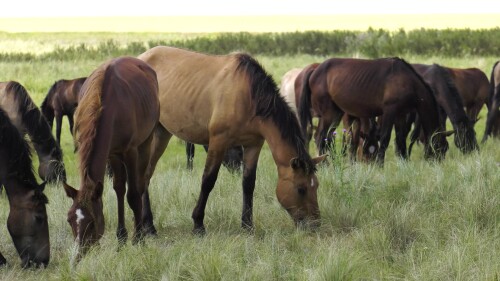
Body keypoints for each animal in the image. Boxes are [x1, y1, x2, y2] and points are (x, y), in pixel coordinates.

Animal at [62, 55, 160, 250]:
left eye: (92, 222)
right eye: (69, 220)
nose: (80, 251)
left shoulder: (130, 151)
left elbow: (133, 194)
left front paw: (138, 238)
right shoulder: (112, 153)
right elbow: (119, 188)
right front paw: (121, 236)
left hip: (146, 141)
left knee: (141, 182)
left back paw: (143, 227)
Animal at [137, 46, 326, 234]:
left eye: (316, 186)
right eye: (301, 189)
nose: (315, 224)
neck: (249, 95)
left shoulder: (254, 144)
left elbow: (248, 183)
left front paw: (247, 225)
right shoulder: (218, 142)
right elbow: (208, 181)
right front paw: (198, 224)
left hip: (162, 133)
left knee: (147, 174)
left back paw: (149, 225)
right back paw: (149, 226)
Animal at [296, 57, 450, 162]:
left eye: (446, 149)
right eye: (440, 147)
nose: (437, 164)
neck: (408, 81)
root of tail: (314, 70)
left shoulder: (400, 114)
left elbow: (400, 139)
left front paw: (404, 163)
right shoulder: (389, 111)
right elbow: (385, 138)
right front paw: (380, 165)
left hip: (336, 113)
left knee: (326, 137)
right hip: (329, 113)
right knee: (320, 137)